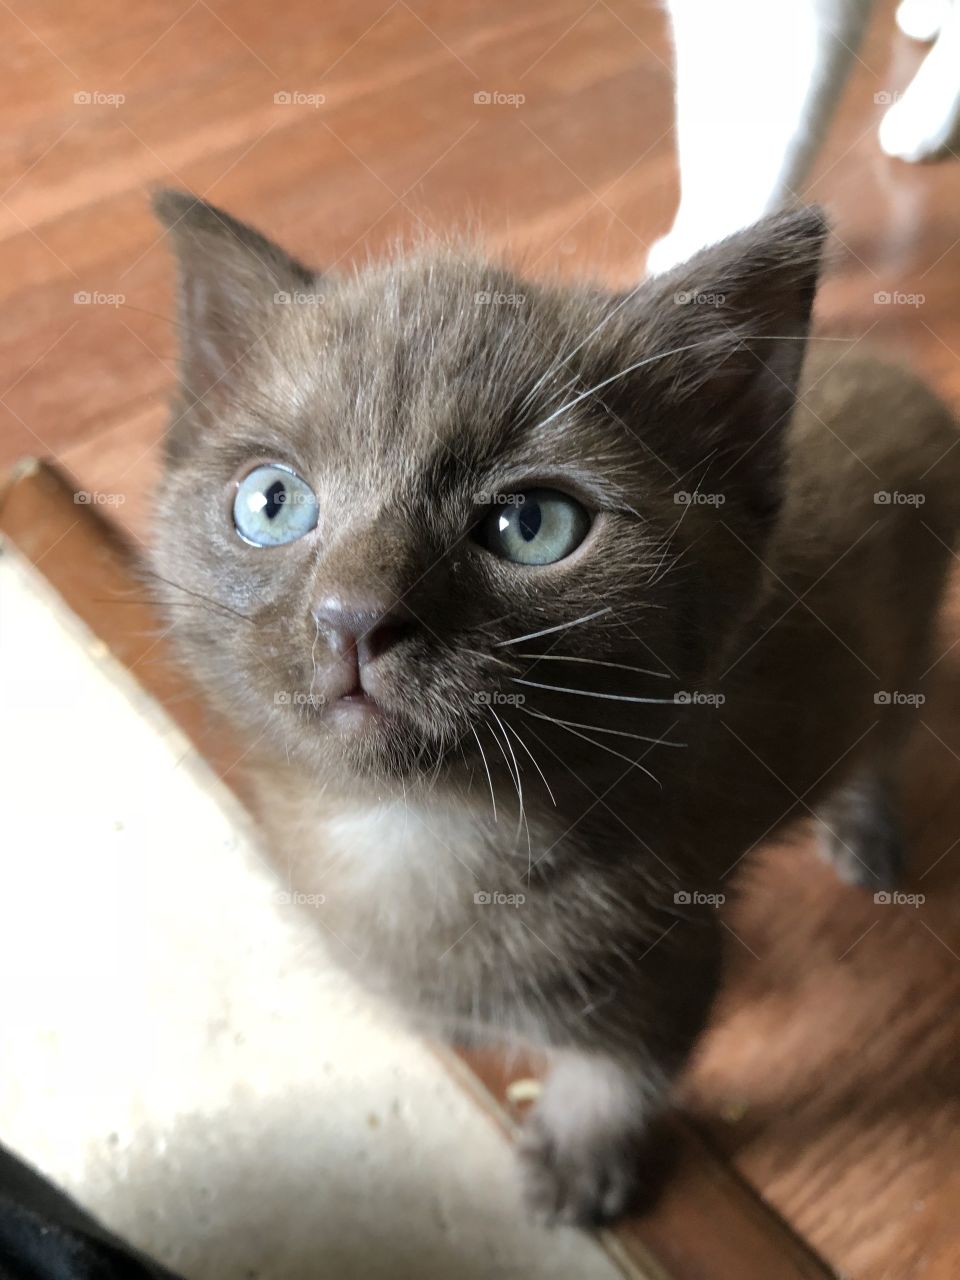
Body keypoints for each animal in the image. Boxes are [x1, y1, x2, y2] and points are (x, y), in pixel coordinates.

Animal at [150, 186, 960, 1218]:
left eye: (530, 524)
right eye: (272, 502)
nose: (354, 618)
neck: (414, 831)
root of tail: (900, 377)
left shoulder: (670, 955)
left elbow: (620, 1073)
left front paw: (580, 1161)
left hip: (903, 659)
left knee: (885, 741)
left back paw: (864, 829)